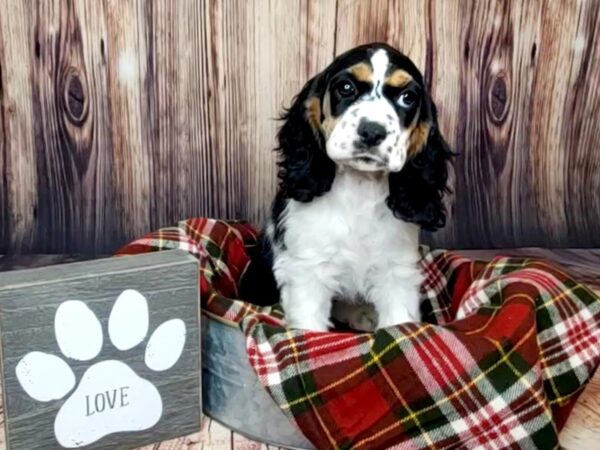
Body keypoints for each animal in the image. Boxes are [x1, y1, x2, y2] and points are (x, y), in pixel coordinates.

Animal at [260, 43, 452, 330]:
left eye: (407, 97)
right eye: (346, 87)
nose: (372, 131)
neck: (360, 188)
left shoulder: (396, 272)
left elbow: (400, 324)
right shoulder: (308, 270)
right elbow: (309, 326)